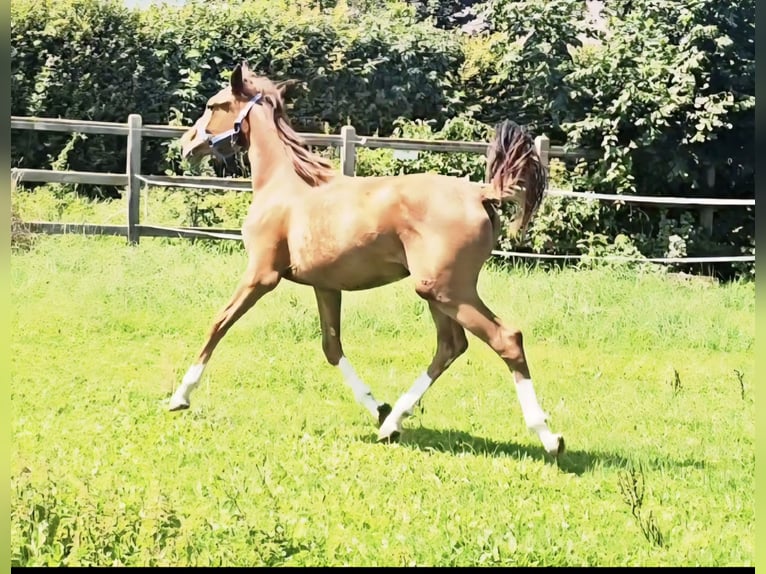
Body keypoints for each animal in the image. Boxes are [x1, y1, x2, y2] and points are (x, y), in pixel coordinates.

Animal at [170, 61, 564, 457]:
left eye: (213, 105)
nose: (186, 145)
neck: (284, 187)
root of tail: (481, 193)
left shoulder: (261, 274)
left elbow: (218, 323)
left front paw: (179, 397)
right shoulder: (325, 286)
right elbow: (332, 347)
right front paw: (379, 408)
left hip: (449, 291)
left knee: (506, 338)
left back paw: (549, 436)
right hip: (438, 292)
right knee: (451, 346)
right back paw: (391, 424)